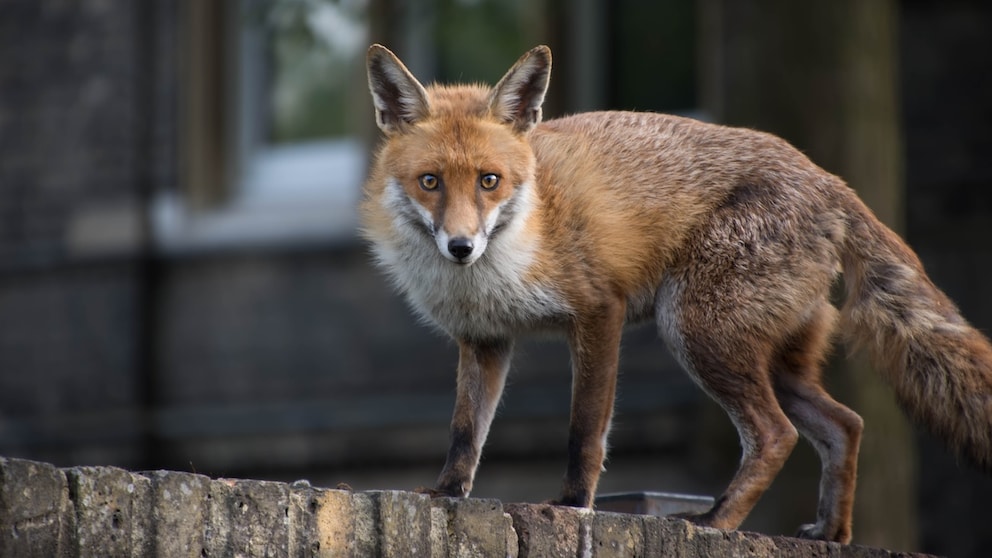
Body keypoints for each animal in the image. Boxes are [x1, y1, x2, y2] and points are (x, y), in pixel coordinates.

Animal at [360, 43, 992, 543]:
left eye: (489, 181)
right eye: (430, 182)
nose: (461, 246)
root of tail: (831, 180)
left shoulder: (600, 312)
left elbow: (585, 431)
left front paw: (572, 506)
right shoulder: (485, 340)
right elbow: (465, 431)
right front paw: (446, 494)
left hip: (694, 329)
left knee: (776, 435)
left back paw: (716, 523)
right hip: (769, 358)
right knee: (846, 424)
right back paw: (831, 532)